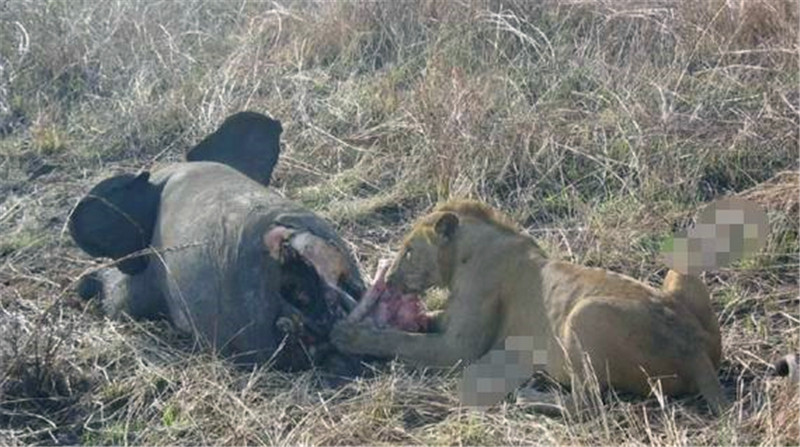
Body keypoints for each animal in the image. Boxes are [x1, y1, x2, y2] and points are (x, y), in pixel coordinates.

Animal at [332, 200, 736, 412]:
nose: (389, 277)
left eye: (409, 250)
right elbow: (418, 326)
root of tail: (696, 350)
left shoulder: (458, 349)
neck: (465, 253)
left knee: (588, 404)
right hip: (680, 273)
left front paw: (348, 334)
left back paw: (528, 396)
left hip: (583, 314)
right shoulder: (450, 323)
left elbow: (400, 341)